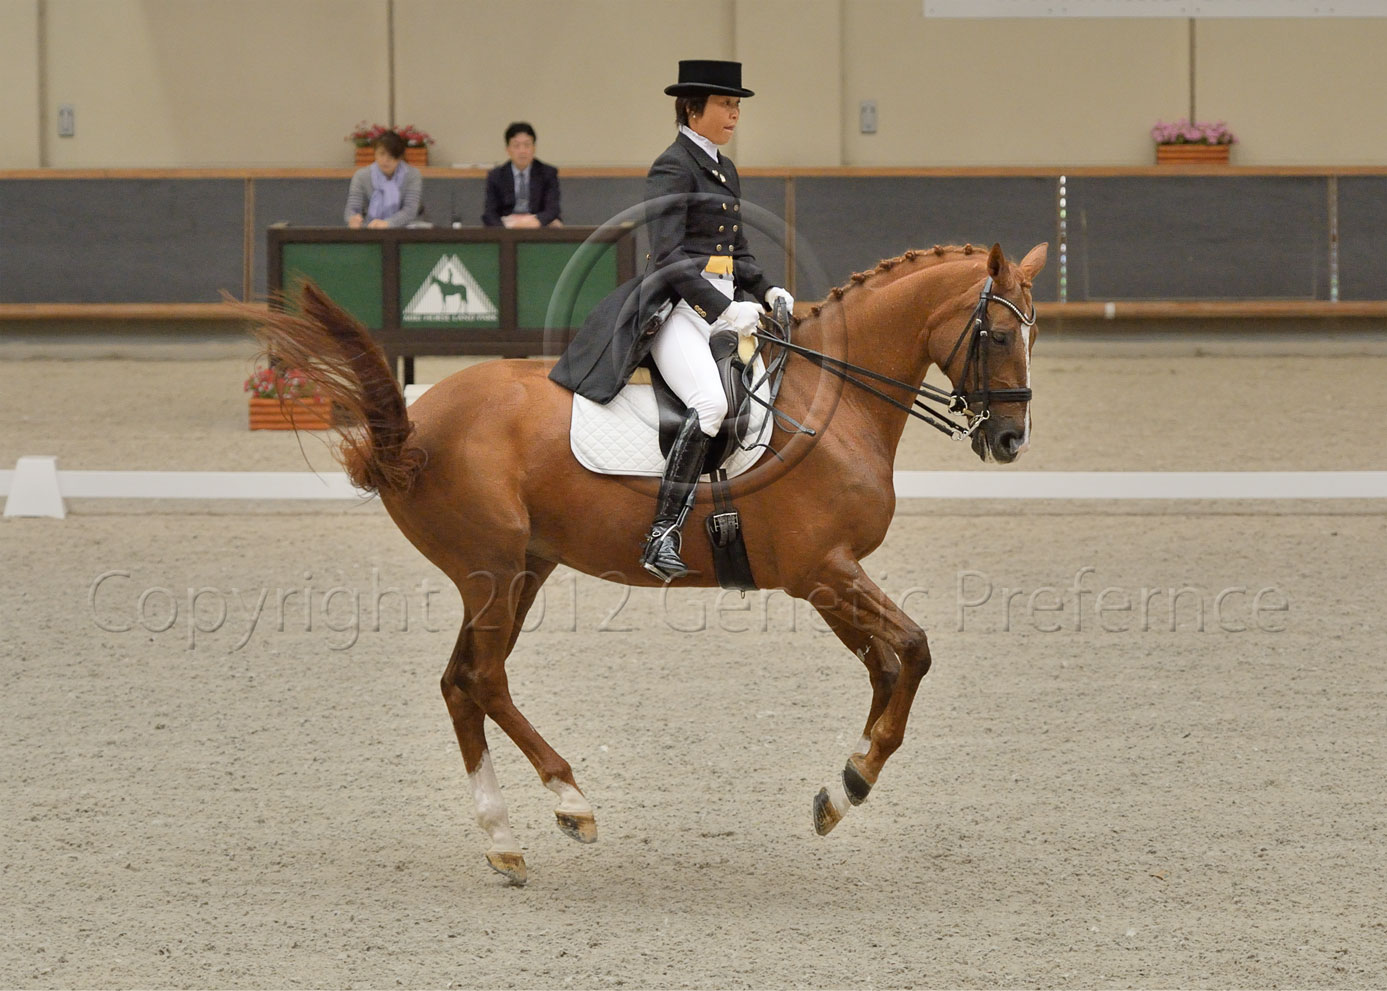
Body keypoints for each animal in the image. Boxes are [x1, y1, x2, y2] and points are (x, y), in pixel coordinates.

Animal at [255, 237, 1043, 882]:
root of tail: (412, 426)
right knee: (481, 678)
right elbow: (915, 647)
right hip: (491, 571)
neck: (835, 400)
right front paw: (856, 778)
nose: (1009, 439)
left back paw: (504, 840)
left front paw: (841, 790)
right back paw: (569, 800)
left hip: (522, 570)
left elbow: (887, 664)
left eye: (1032, 333)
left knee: (461, 683)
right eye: (1002, 333)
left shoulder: (823, 578)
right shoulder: (823, 568)